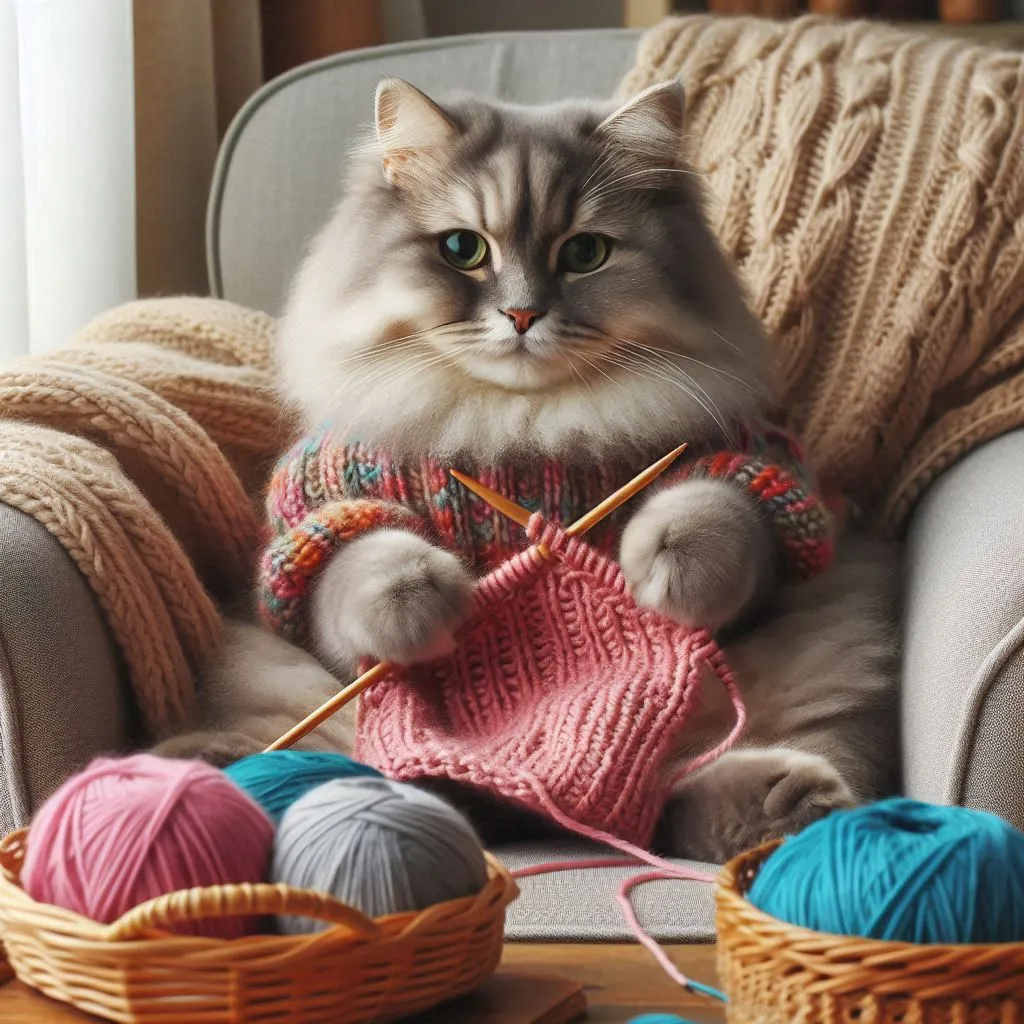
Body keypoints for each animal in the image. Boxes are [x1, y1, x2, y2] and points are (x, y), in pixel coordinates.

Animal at [155, 75, 901, 860]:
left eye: (585, 254)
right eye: (463, 249)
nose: (521, 315)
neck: (523, 424)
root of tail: (529, 814)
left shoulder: (762, 471)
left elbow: (709, 515)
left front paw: (657, 563)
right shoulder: (320, 522)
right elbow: (369, 565)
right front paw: (431, 594)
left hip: (822, 649)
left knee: (678, 796)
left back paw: (790, 806)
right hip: (281, 682)